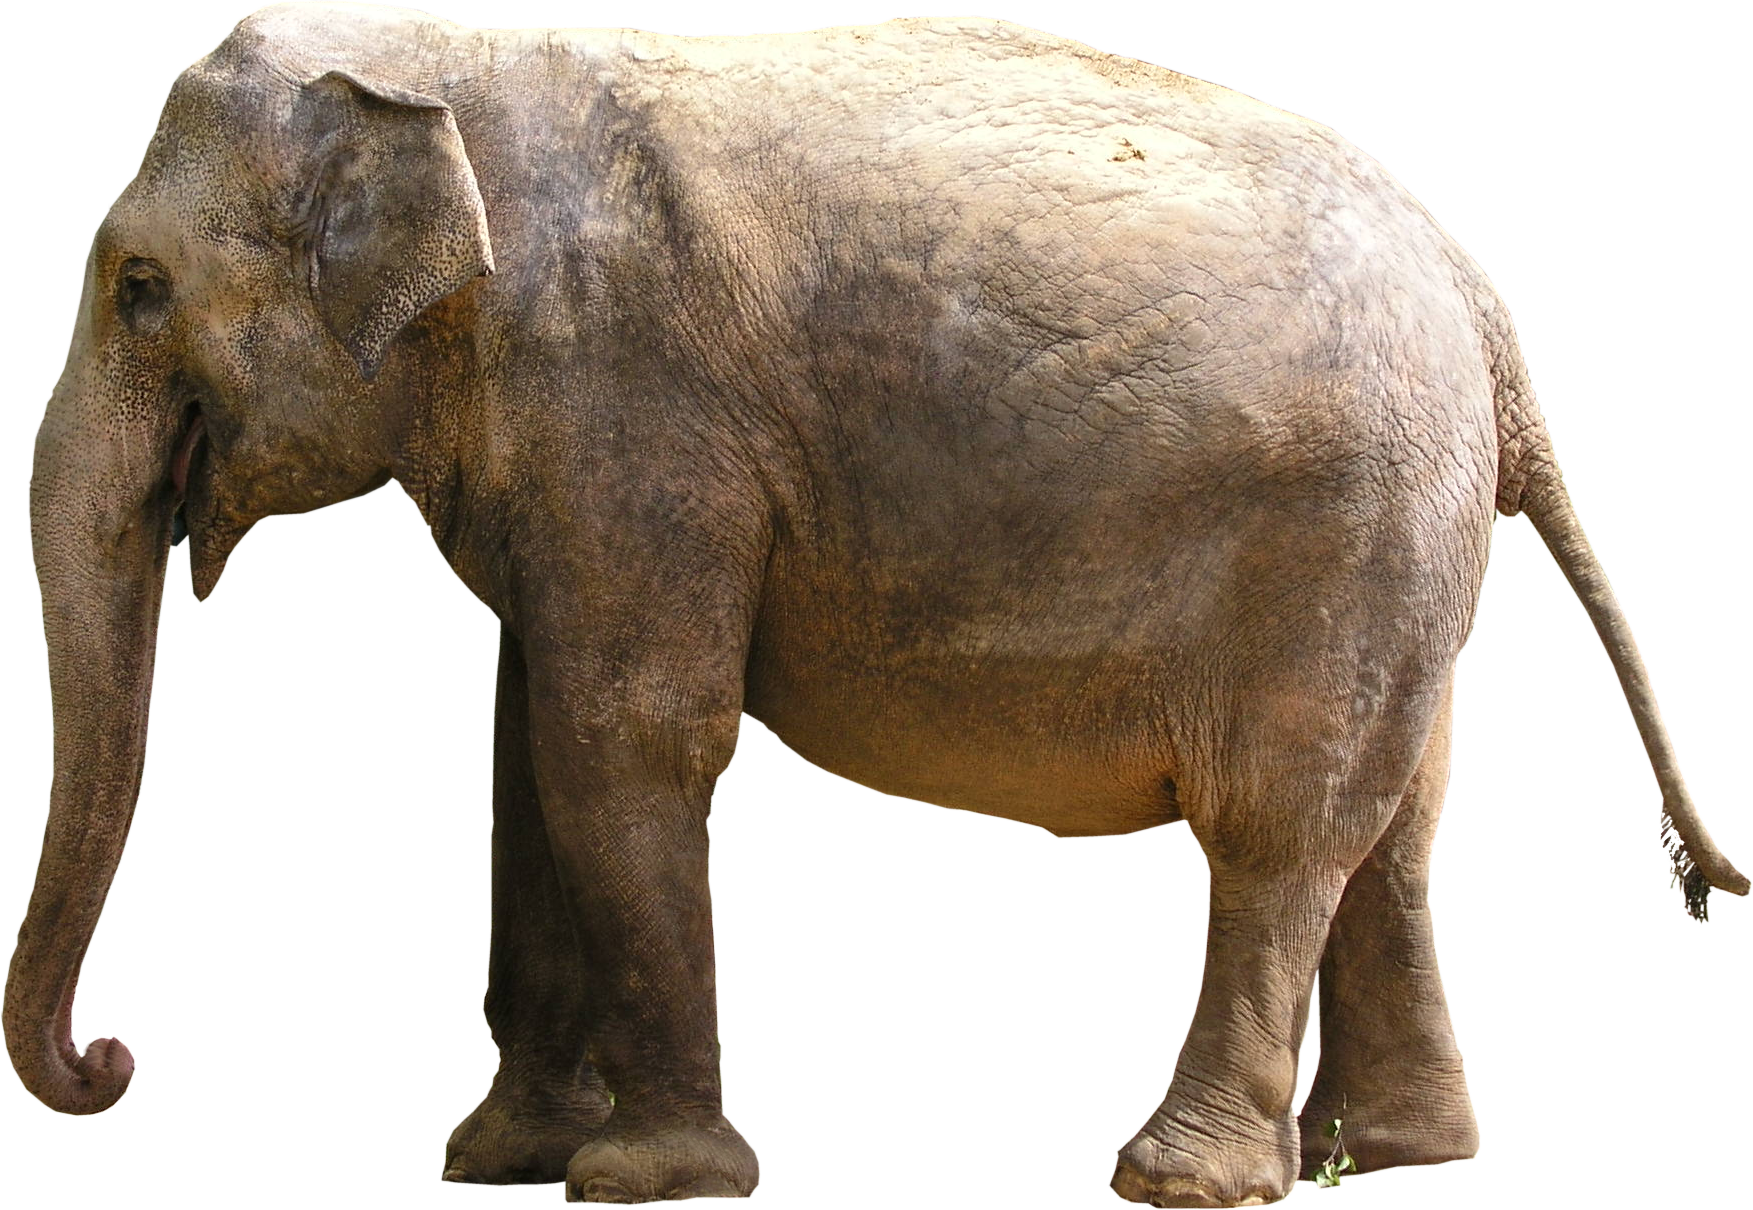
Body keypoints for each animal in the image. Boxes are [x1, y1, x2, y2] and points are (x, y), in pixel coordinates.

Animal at [8, 3, 1747, 1206]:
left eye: (140, 289)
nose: (114, 1058)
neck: (462, 61)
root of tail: (1484, 310)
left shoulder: (634, 415)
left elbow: (624, 742)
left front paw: (645, 1184)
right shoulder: (564, 470)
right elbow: (529, 752)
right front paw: (497, 1163)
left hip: (1339, 530)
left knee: (1280, 827)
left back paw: (1181, 1181)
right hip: (1402, 549)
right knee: (1397, 830)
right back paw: (1380, 1158)